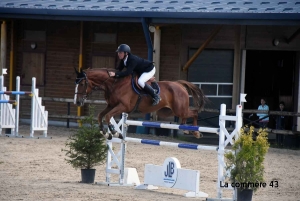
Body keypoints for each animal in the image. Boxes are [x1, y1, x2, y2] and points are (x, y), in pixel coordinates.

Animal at [74, 67, 207, 140]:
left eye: (82, 84)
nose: (77, 102)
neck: (115, 83)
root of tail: (179, 84)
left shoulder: (123, 106)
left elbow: (107, 116)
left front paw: (114, 132)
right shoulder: (111, 105)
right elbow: (100, 115)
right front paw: (105, 132)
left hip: (179, 109)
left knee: (194, 113)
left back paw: (196, 132)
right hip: (172, 111)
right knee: (187, 115)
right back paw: (186, 129)